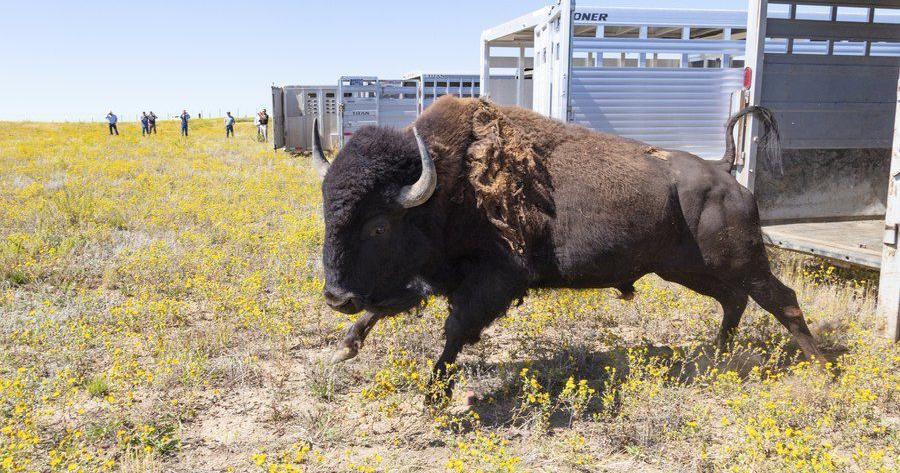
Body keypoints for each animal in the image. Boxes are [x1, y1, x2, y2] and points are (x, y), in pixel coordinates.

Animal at [312, 96, 823, 397]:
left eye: (379, 226)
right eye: (326, 211)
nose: (336, 297)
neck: (444, 187)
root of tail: (725, 172)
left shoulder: (494, 282)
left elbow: (454, 330)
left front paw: (433, 394)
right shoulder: (432, 278)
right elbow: (386, 307)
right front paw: (344, 348)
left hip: (740, 262)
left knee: (781, 299)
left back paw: (824, 366)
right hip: (689, 270)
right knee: (734, 300)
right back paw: (716, 358)